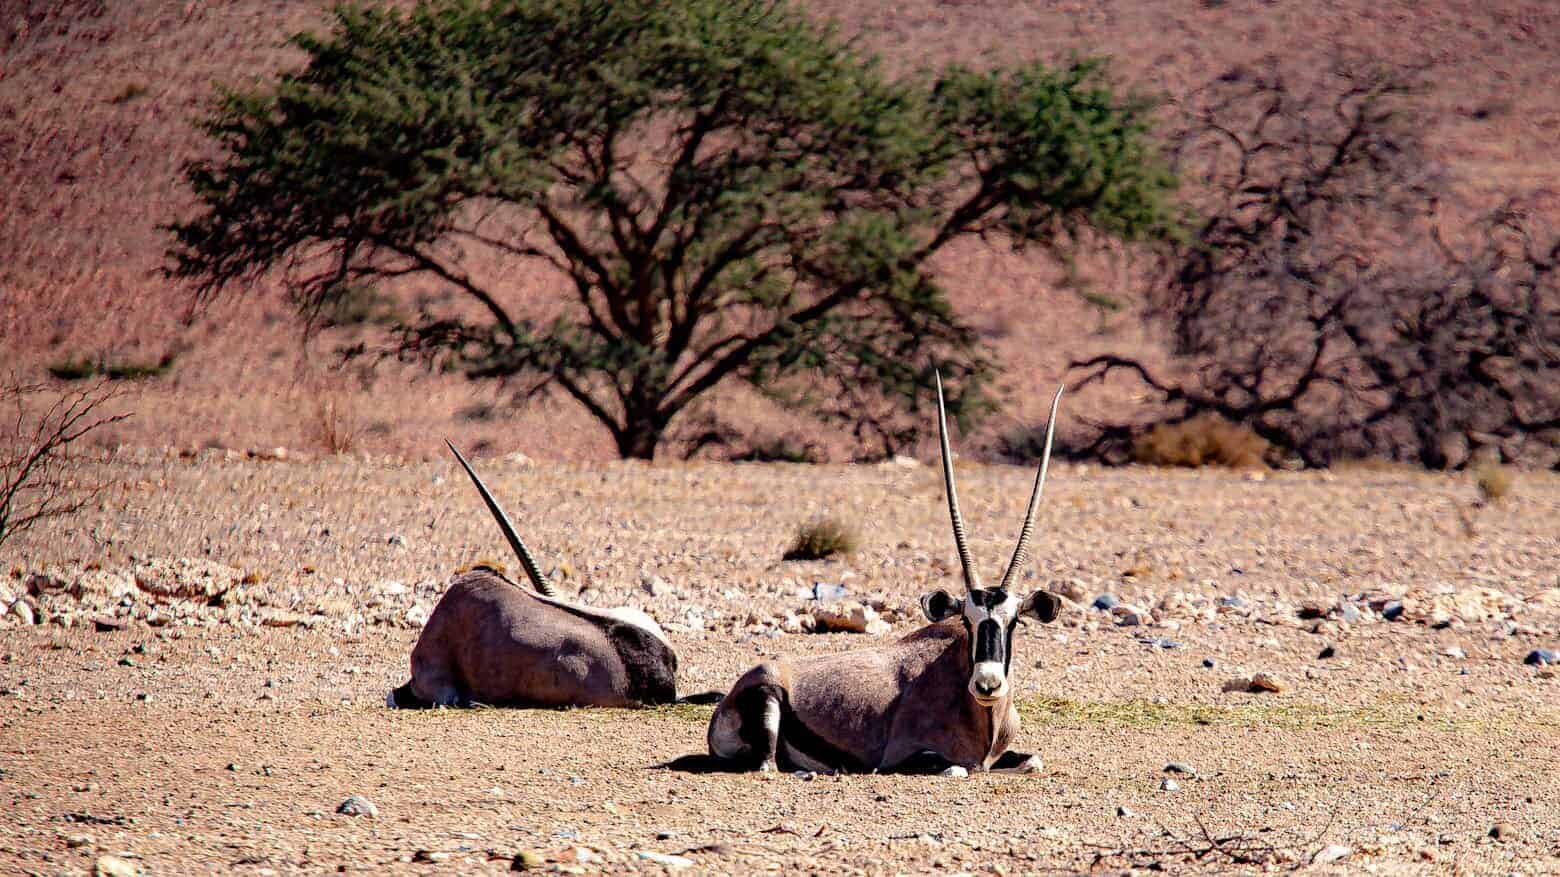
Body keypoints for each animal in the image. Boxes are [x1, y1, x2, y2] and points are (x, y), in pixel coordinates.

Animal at [695, 375, 1065, 774]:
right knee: (768, 766)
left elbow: (1033, 761)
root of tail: (727, 701)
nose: (987, 685)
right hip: (768, 703)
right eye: (967, 621)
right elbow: (955, 767)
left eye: (1014, 621)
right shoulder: (907, 756)